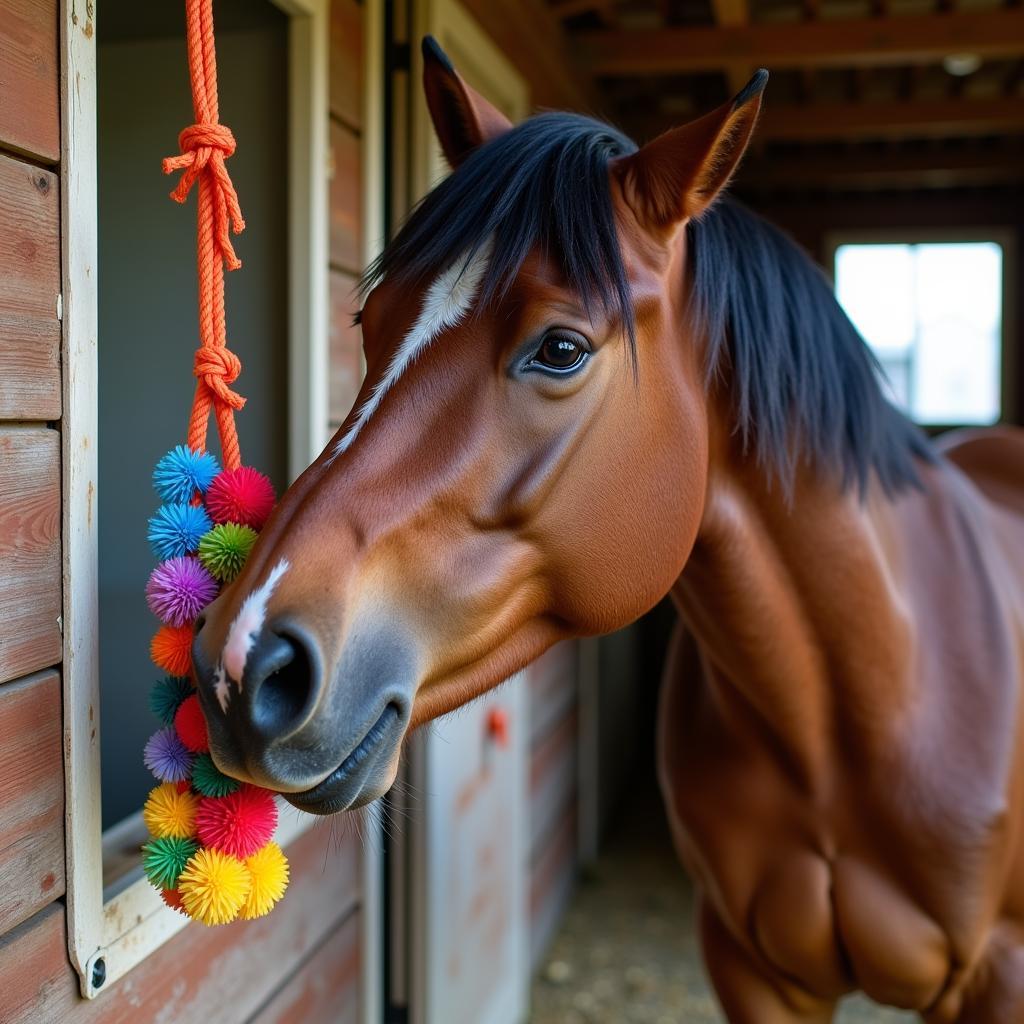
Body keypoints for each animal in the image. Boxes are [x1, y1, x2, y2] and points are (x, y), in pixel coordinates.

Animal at [192, 34, 1024, 1024]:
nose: (244, 662)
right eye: (370, 319)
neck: (872, 698)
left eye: (561, 348)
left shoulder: (999, 975)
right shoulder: (752, 969)